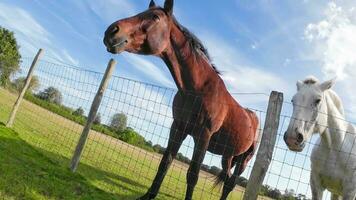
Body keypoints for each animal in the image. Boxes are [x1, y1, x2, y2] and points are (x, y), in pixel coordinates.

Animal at [103, 0, 258, 199]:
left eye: (155, 17)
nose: (111, 31)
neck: (197, 89)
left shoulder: (203, 136)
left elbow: (193, 174)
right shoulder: (178, 127)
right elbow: (165, 162)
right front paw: (149, 195)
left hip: (244, 160)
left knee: (230, 183)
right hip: (228, 156)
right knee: (227, 180)